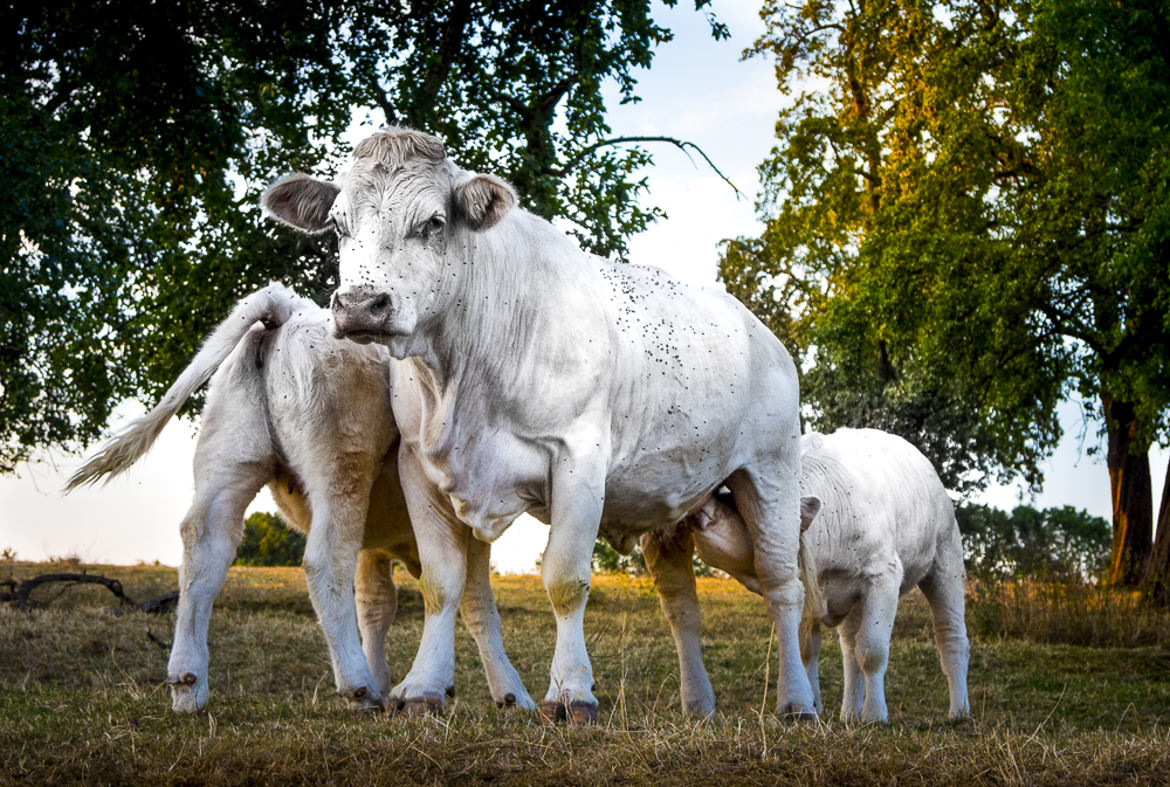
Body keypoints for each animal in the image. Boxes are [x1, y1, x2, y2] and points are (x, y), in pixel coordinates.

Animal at [66, 285, 533, 715]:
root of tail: (289, 309)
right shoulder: (465, 522)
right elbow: (475, 604)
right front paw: (511, 695)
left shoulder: (376, 541)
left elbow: (375, 603)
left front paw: (393, 683)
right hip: (341, 467)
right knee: (323, 561)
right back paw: (356, 684)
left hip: (229, 462)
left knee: (203, 552)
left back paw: (188, 682)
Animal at [263, 130, 814, 725]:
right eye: (338, 224)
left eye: (434, 221)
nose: (361, 305)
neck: (464, 373)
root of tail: (761, 332)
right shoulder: (418, 464)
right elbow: (441, 582)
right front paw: (424, 686)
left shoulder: (579, 458)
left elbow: (565, 580)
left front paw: (571, 692)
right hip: (673, 502)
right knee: (682, 609)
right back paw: (698, 705)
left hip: (773, 472)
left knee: (783, 585)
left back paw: (798, 701)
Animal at [645, 425, 964, 720]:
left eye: (733, 501)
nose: (700, 499)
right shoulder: (806, 590)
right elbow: (807, 651)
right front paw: (813, 705)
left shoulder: (882, 576)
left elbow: (872, 651)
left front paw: (875, 715)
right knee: (849, 649)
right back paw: (849, 714)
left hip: (946, 560)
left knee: (950, 635)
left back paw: (959, 711)